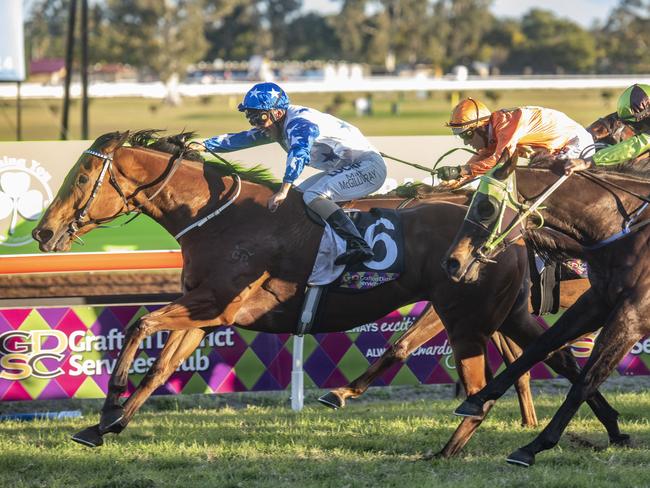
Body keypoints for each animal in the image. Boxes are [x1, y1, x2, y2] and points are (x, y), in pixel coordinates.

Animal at [33, 130, 620, 454]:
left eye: (82, 177)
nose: (42, 232)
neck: (216, 217)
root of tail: (510, 227)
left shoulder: (214, 303)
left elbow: (139, 323)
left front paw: (109, 403)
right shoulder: (207, 314)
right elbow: (159, 367)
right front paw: (105, 427)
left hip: (463, 311)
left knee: (506, 366)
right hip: (503, 310)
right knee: (556, 354)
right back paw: (607, 429)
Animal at [440, 158, 648, 468]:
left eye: (486, 207)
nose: (452, 262)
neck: (626, 233)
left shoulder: (633, 315)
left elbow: (585, 380)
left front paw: (533, 447)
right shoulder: (598, 300)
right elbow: (541, 347)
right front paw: (476, 400)